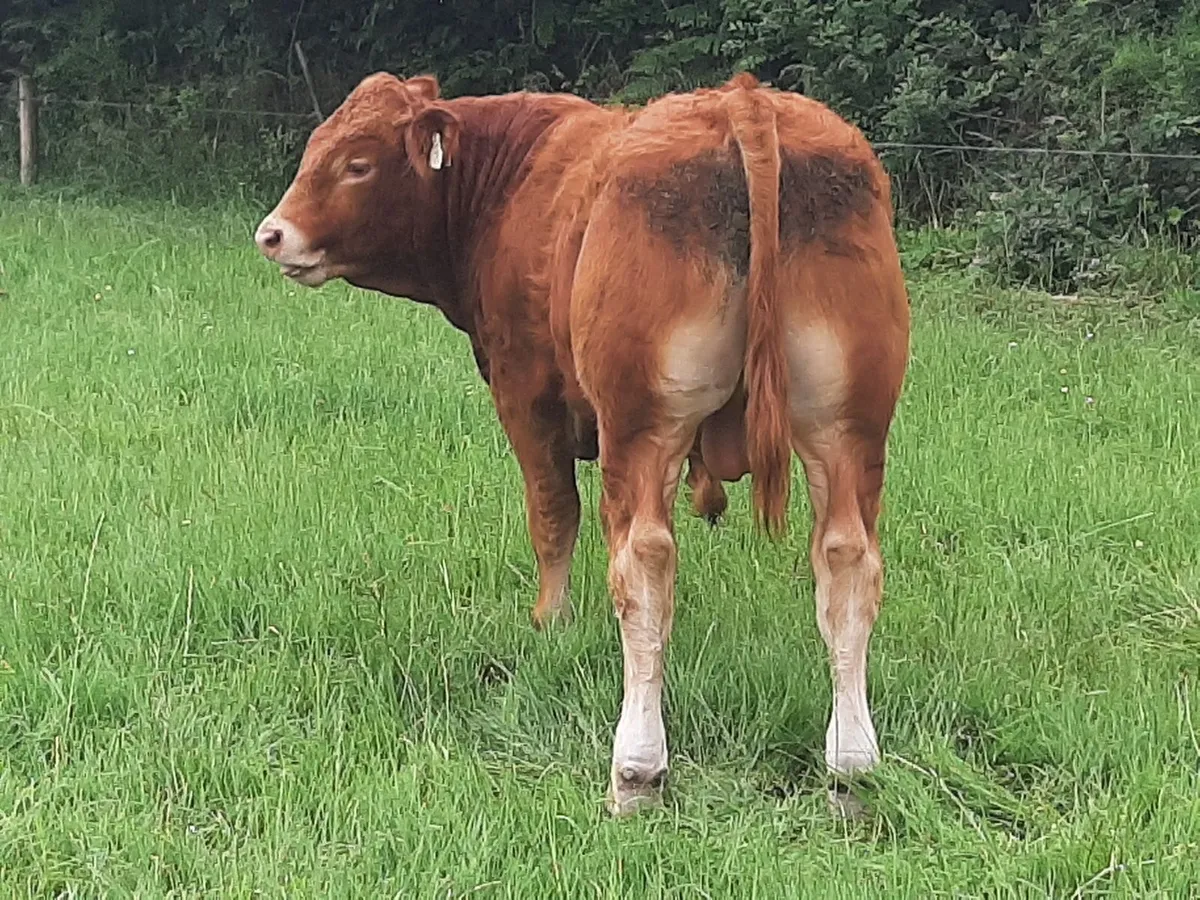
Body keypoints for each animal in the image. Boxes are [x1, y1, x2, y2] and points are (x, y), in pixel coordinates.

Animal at [254, 71, 910, 816]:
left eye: (357, 163)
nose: (272, 234)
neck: (513, 178)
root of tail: (741, 100)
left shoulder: (524, 393)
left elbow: (552, 516)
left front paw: (551, 625)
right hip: (846, 428)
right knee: (848, 561)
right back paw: (851, 767)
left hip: (643, 427)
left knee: (645, 561)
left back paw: (638, 768)